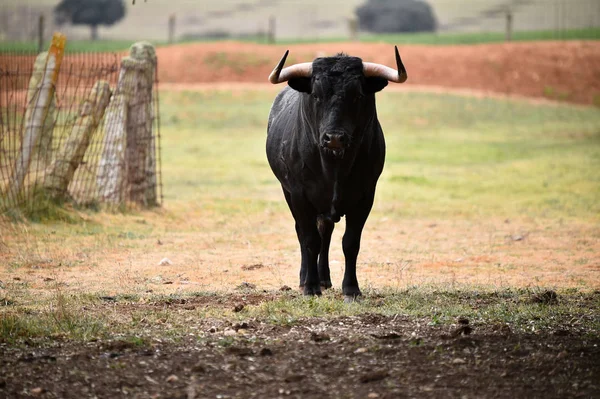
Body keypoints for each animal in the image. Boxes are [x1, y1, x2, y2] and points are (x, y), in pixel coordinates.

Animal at [266, 47, 408, 302]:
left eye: (357, 96)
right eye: (316, 95)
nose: (334, 138)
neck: (334, 166)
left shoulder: (365, 196)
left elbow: (350, 242)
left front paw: (351, 289)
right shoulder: (300, 195)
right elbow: (309, 239)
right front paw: (310, 287)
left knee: (326, 231)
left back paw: (324, 278)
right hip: (288, 193)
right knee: (304, 233)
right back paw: (306, 279)